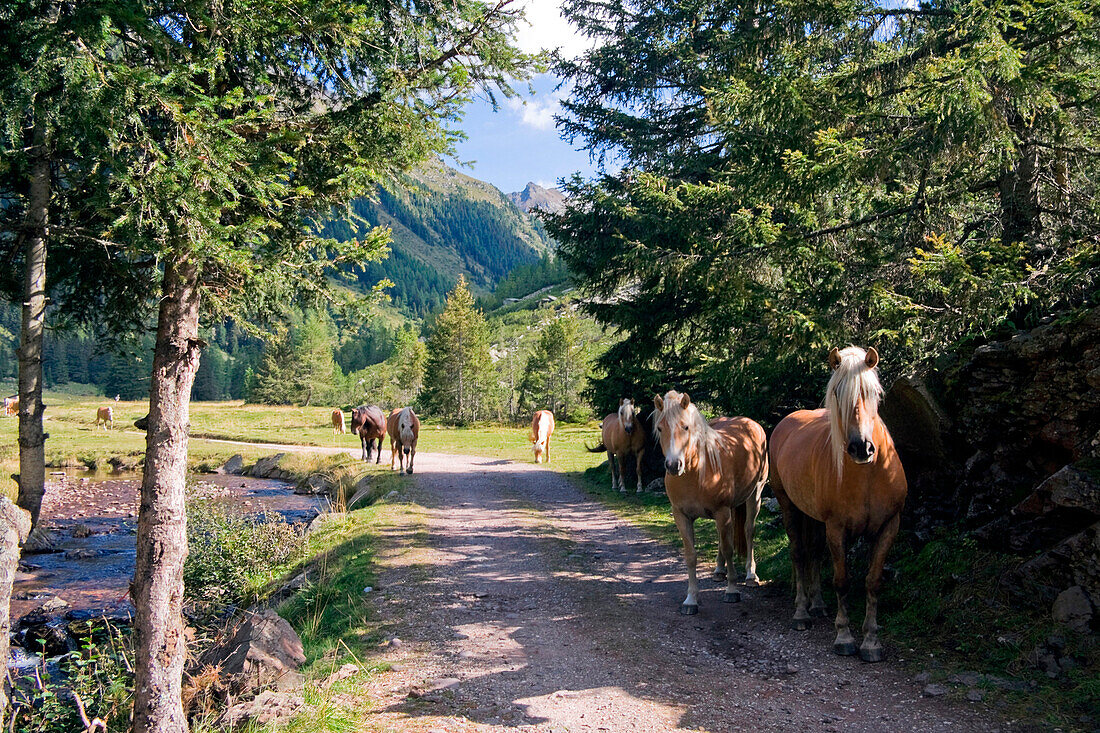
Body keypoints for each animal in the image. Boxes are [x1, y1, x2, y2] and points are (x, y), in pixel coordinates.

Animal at [646, 391, 770, 611]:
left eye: (686, 426)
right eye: (660, 428)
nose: (673, 465)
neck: (697, 471)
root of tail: (750, 423)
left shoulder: (722, 511)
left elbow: (729, 550)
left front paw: (732, 590)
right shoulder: (682, 516)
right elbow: (691, 556)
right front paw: (691, 599)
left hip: (755, 494)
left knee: (748, 530)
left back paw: (750, 575)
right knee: (723, 536)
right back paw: (719, 570)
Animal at [770, 345, 906, 660]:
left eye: (874, 393)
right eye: (836, 392)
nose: (861, 447)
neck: (868, 476)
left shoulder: (888, 527)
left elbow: (873, 581)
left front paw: (871, 641)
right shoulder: (837, 528)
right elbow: (842, 580)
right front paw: (844, 636)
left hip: (813, 517)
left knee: (814, 553)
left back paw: (818, 605)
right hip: (788, 506)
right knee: (799, 553)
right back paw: (802, 613)